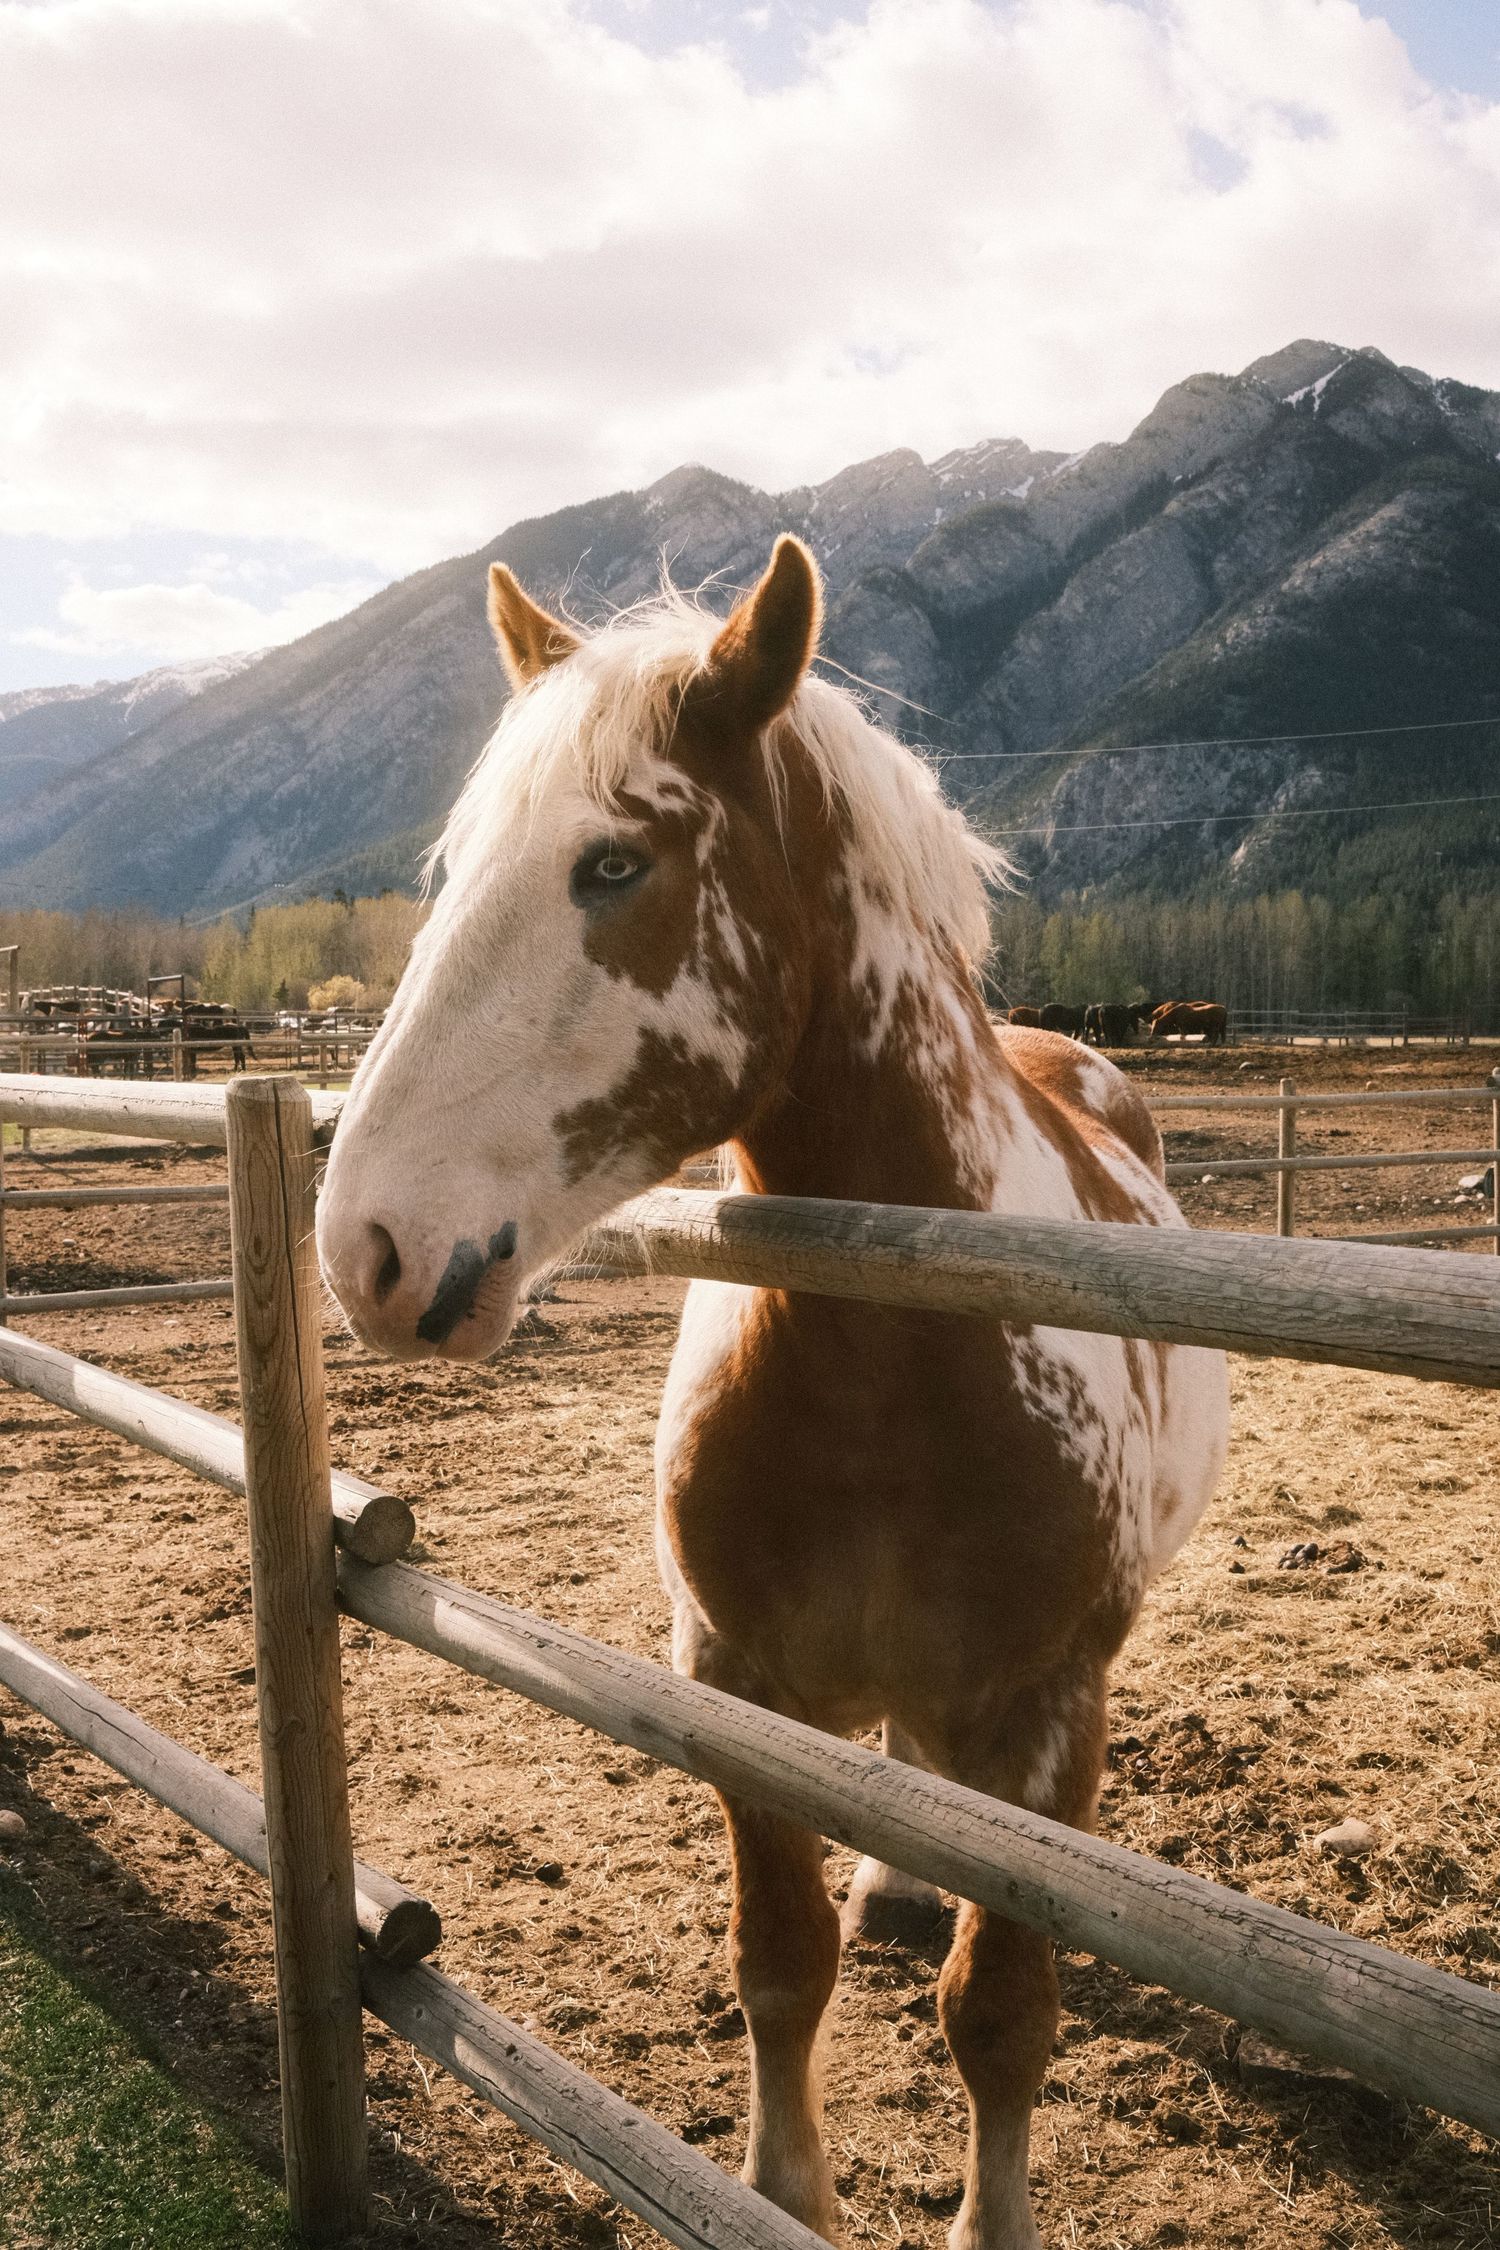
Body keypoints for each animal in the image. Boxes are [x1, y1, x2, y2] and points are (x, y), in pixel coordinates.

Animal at [316, 539, 1230, 2250]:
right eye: (454, 864)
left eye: (614, 863)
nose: (366, 1246)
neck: (896, 1374)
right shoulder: (737, 1686)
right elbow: (781, 1965)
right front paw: (781, 2184)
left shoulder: (1047, 1717)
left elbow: (1000, 2013)